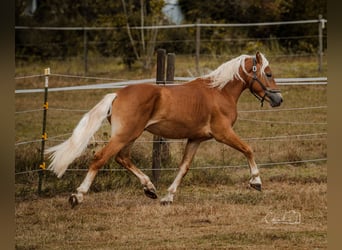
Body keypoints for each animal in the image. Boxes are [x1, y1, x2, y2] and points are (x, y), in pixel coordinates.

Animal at [45, 50, 284, 207]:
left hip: (130, 135)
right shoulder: (223, 133)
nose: (278, 99)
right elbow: (248, 149)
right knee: (100, 158)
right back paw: (77, 196)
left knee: (122, 158)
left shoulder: (196, 139)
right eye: (269, 74)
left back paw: (150, 189)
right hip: (125, 135)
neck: (219, 92)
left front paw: (168, 197)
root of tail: (117, 94)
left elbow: (184, 167)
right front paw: (256, 182)